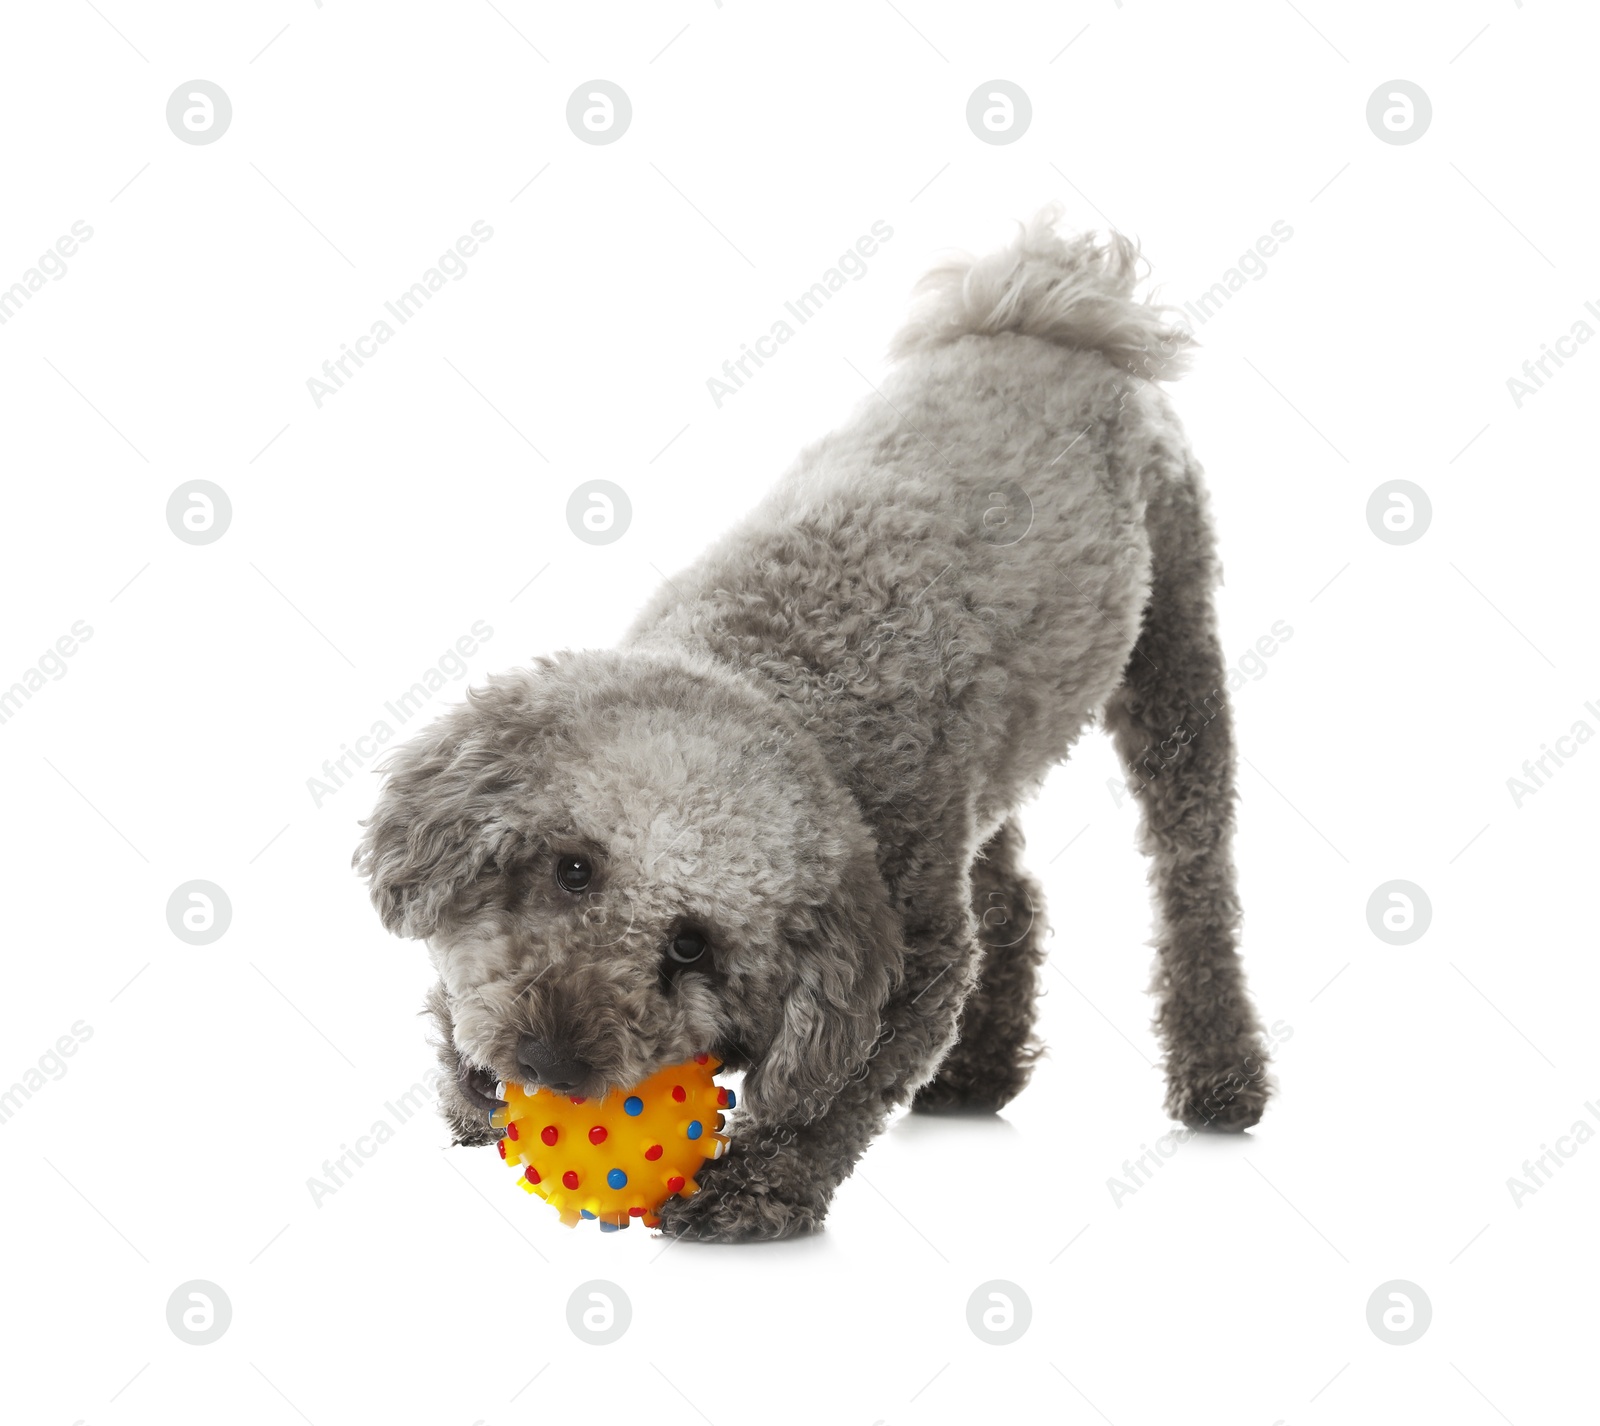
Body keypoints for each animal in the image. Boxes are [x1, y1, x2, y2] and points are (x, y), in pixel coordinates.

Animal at [353, 206, 1273, 1241]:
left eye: (692, 947)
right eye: (574, 868)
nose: (549, 1062)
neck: (779, 675)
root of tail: (1048, 310)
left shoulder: (907, 944)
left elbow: (836, 1091)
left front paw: (755, 1191)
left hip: (1175, 654)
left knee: (1194, 874)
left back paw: (1220, 1072)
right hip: (995, 756)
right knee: (1012, 893)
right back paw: (981, 1069)